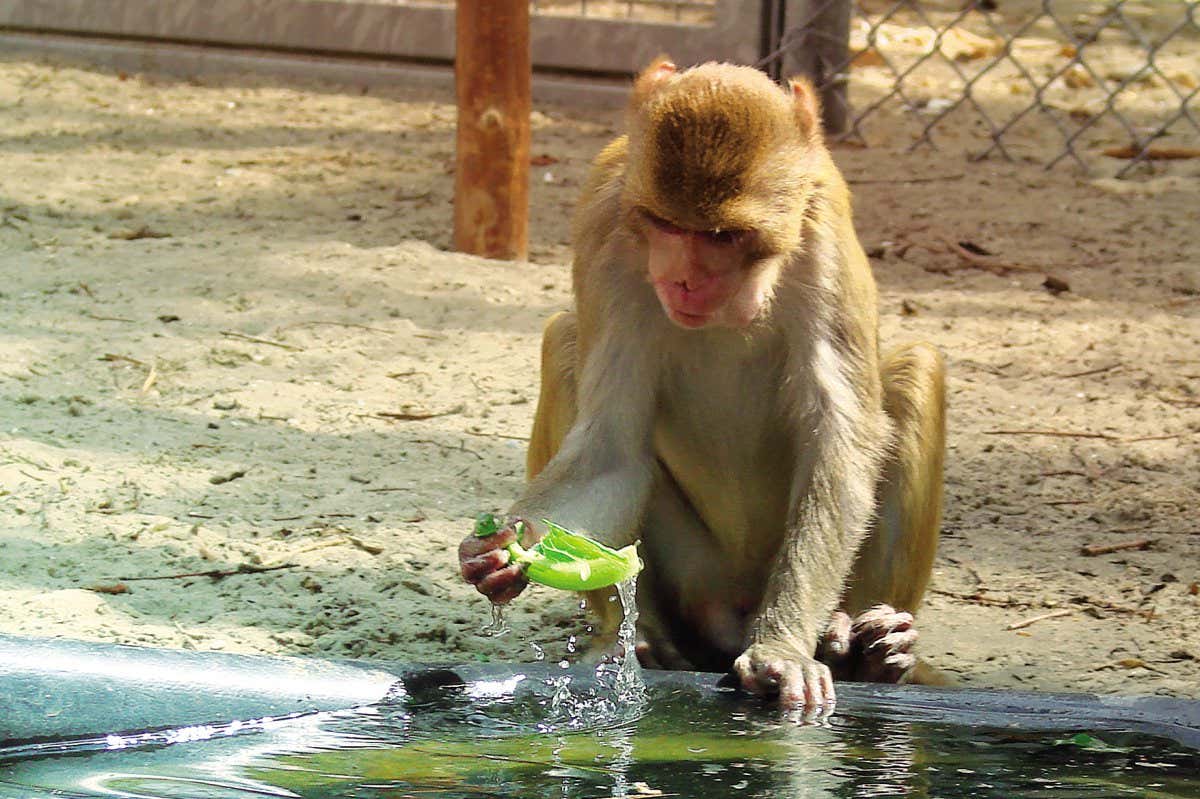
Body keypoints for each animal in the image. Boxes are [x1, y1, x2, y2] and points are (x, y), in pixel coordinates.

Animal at [459, 59, 945, 711]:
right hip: (698, 577)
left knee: (917, 368)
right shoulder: (606, 223)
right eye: (668, 225)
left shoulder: (822, 230)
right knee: (563, 339)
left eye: (723, 236)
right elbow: (612, 448)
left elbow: (838, 443)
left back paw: (869, 649)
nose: (685, 282)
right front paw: (509, 546)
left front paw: (783, 646)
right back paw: (642, 641)